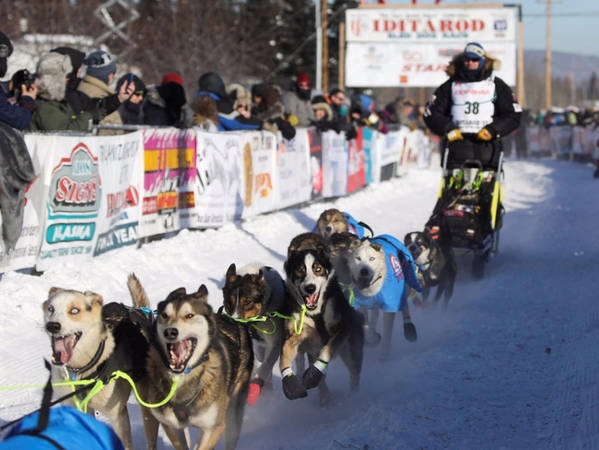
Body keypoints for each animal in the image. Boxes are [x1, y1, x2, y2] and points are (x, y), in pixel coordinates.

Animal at [41, 274, 155, 450]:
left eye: (74, 310)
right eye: (51, 308)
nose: (52, 326)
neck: (81, 369)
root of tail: (139, 311)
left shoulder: (117, 416)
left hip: (146, 404)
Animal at [132, 280, 254, 448]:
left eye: (189, 315)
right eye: (164, 315)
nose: (170, 332)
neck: (182, 379)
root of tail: (233, 320)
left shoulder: (213, 427)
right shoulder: (171, 425)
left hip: (234, 409)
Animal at [223, 262, 290, 402]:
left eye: (248, 302)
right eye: (229, 303)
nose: (233, 323)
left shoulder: (275, 343)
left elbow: (266, 366)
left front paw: (255, 384)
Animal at [278, 234, 364, 406]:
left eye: (318, 269)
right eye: (300, 270)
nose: (310, 288)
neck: (315, 313)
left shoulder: (341, 328)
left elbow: (327, 350)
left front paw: (315, 372)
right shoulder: (294, 334)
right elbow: (283, 358)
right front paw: (291, 383)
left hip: (349, 348)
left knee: (354, 371)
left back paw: (353, 395)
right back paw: (324, 397)